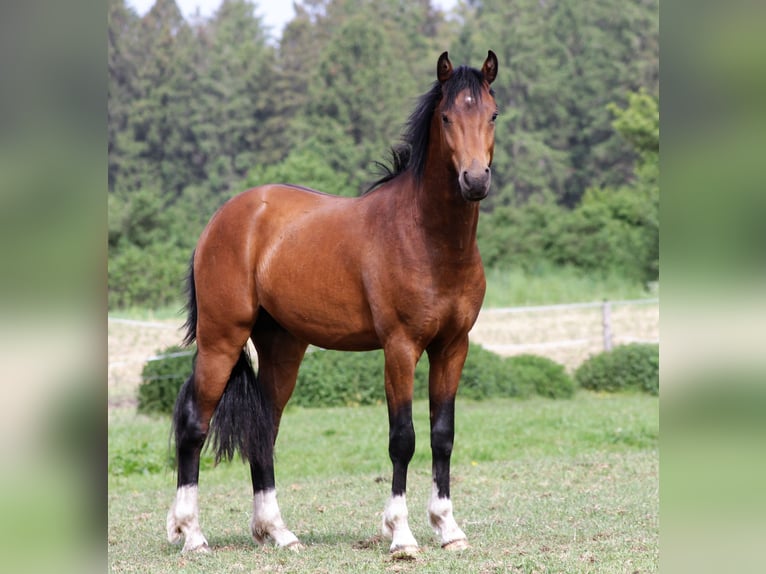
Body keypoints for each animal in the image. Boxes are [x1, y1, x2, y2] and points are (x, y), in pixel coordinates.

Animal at [167, 50, 500, 560]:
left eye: (493, 115)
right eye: (446, 117)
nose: (475, 180)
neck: (428, 238)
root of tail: (226, 217)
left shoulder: (452, 346)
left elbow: (442, 436)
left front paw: (448, 529)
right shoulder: (400, 347)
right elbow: (403, 439)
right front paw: (401, 535)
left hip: (283, 347)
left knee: (264, 430)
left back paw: (278, 532)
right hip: (221, 340)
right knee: (193, 424)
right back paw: (192, 534)